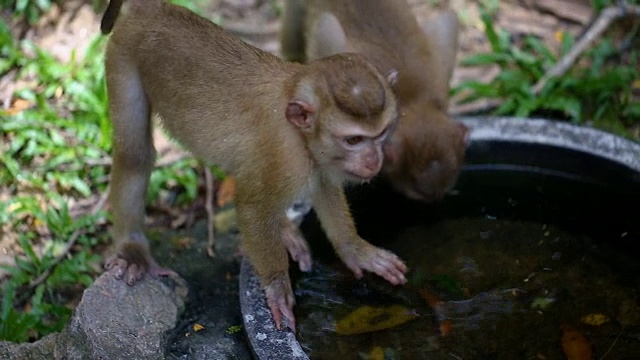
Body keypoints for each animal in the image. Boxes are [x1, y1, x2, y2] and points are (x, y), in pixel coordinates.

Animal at [102, 0, 408, 330]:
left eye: (381, 133)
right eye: (353, 140)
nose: (374, 160)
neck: (300, 132)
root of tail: (154, 8)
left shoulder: (316, 160)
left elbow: (324, 188)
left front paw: (355, 250)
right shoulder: (286, 156)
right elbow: (252, 209)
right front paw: (277, 286)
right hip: (122, 53)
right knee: (135, 155)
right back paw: (133, 250)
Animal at [282, 0, 470, 202]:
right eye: (417, 190)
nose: (433, 199)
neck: (411, 101)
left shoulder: (439, 78)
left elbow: (448, 20)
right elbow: (323, 31)